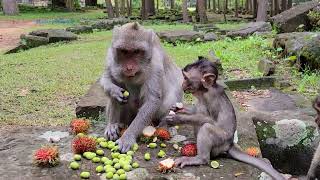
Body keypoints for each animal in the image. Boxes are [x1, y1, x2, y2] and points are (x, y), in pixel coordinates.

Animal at [100, 21, 182, 153]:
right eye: (124, 51)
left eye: (137, 51)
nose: (129, 67)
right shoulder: (110, 56)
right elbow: (106, 78)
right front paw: (114, 91)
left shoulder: (155, 64)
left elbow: (152, 100)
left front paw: (127, 137)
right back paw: (114, 124)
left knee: (170, 99)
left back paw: (165, 126)